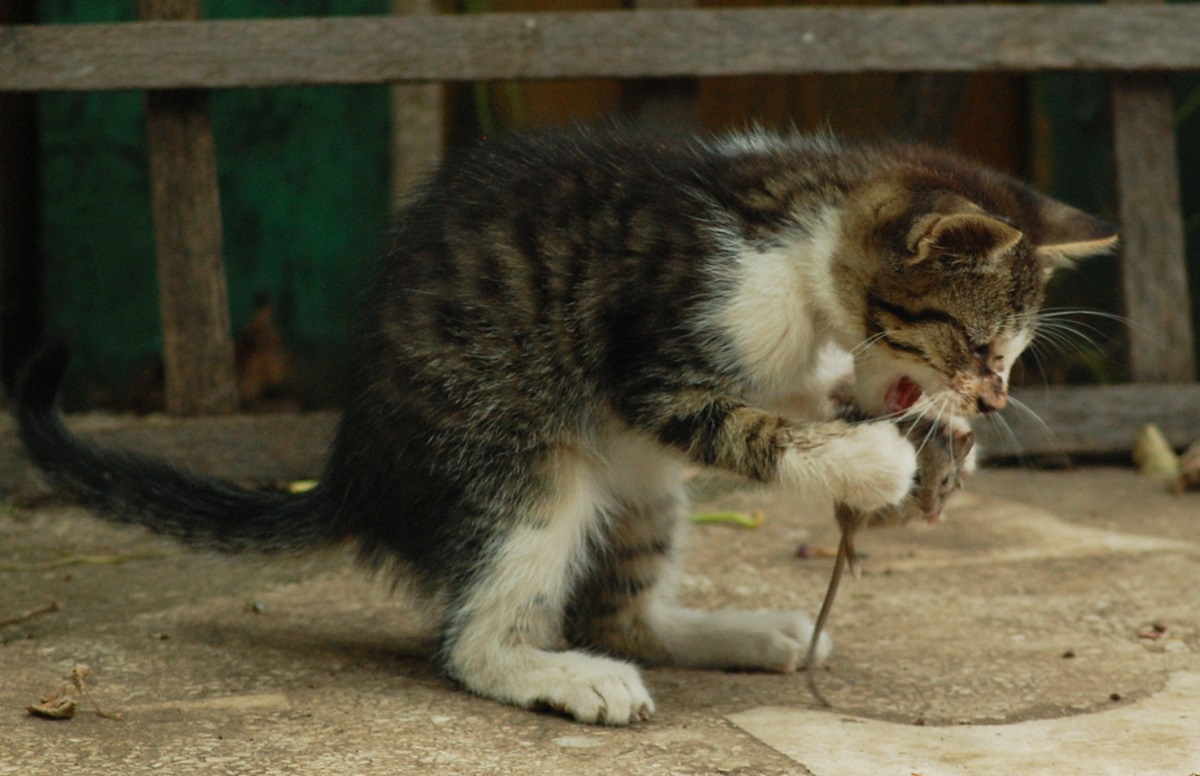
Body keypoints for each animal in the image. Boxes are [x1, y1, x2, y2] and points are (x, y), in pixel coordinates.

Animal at [14, 124, 1113, 724]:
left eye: (1013, 354)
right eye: (978, 343)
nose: (994, 400)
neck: (793, 244)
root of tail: (355, 470)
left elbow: (789, 391)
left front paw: (886, 417)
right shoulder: (653, 363)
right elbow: (749, 426)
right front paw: (870, 462)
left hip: (642, 486)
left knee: (618, 609)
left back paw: (738, 631)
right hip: (519, 453)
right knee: (471, 634)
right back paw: (558, 676)